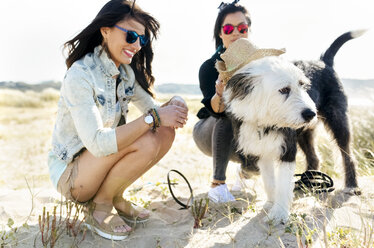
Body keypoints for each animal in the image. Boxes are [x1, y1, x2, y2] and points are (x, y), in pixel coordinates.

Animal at [224, 30, 364, 223]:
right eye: (284, 89)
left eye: (303, 86)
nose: (311, 113)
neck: (265, 121)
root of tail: (324, 61)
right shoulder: (262, 151)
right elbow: (269, 181)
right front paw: (271, 204)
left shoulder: (288, 150)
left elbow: (283, 183)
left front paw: (280, 213)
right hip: (304, 133)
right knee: (314, 157)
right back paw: (310, 182)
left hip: (338, 121)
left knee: (347, 155)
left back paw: (351, 186)